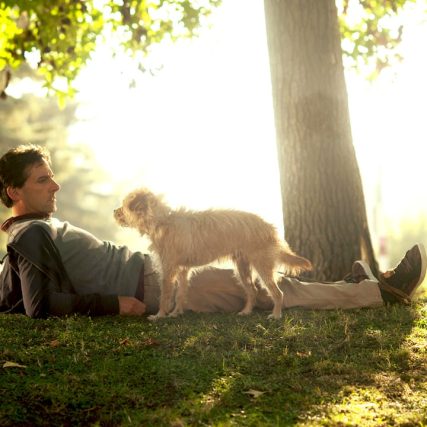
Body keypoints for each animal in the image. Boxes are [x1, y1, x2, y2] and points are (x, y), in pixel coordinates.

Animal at [115, 188, 312, 320]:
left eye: (123, 206)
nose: (114, 211)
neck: (162, 221)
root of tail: (268, 226)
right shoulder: (182, 270)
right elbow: (180, 293)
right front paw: (176, 313)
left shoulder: (168, 270)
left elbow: (165, 296)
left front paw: (160, 315)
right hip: (242, 268)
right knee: (252, 291)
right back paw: (246, 311)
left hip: (262, 267)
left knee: (278, 293)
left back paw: (276, 315)